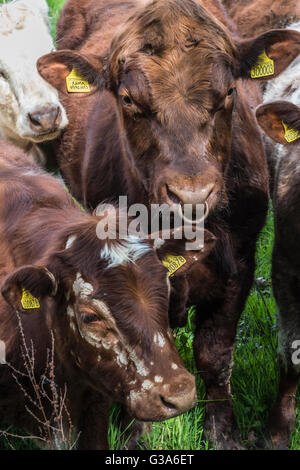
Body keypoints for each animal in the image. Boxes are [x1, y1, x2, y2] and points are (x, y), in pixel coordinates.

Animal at [37, 0, 300, 448]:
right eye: (128, 99)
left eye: (229, 93)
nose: (192, 194)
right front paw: (138, 435)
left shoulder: (241, 267)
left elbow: (215, 355)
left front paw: (221, 431)